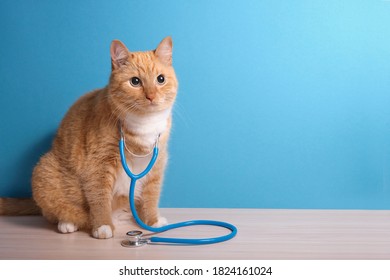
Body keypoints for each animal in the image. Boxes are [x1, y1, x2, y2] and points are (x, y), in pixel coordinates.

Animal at [0, 36, 179, 238]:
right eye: (135, 82)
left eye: (160, 79)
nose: (151, 96)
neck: (144, 123)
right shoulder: (98, 164)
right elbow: (100, 198)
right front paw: (103, 225)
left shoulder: (157, 164)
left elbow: (150, 197)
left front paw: (152, 221)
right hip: (45, 171)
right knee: (57, 212)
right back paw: (68, 223)